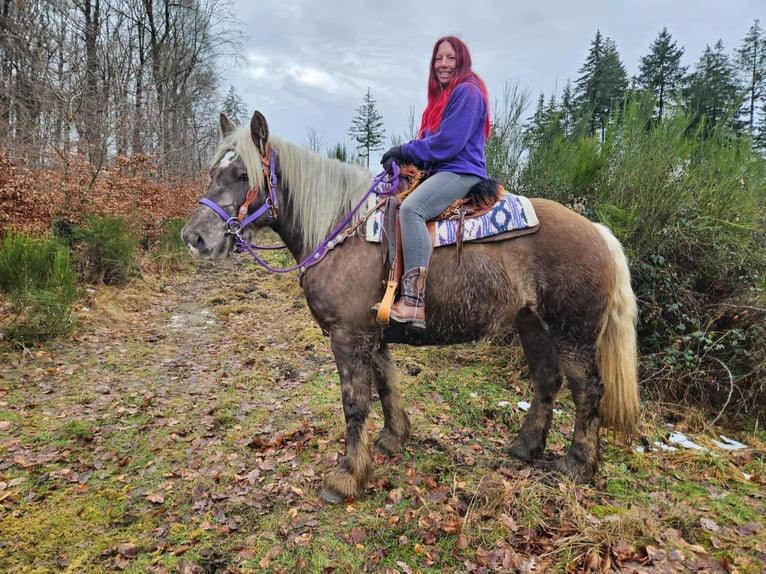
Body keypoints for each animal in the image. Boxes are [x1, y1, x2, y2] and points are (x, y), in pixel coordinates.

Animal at [182, 110, 640, 503]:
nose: (195, 237)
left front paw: (348, 476)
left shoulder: (348, 336)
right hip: (533, 325)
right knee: (547, 380)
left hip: (573, 333)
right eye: (213, 172)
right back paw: (525, 447)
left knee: (587, 390)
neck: (342, 230)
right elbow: (386, 384)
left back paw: (577, 465)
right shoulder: (372, 334)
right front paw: (393, 438)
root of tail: (599, 232)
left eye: (243, 174)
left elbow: (354, 403)